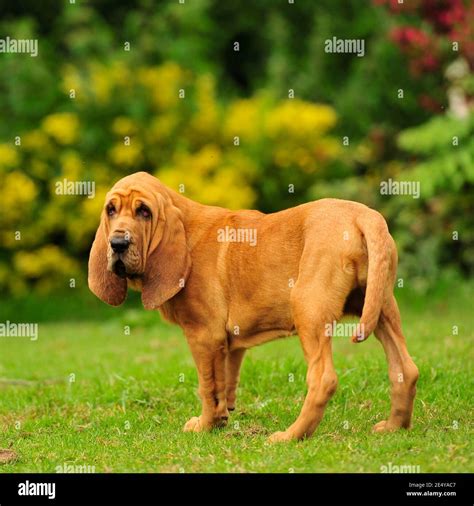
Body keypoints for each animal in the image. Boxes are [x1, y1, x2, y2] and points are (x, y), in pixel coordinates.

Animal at [88, 172, 418, 440]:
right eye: (111, 210)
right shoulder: (229, 342)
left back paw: (290, 436)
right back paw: (393, 427)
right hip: (381, 306)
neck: (187, 233)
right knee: (405, 369)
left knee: (323, 379)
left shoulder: (203, 335)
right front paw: (221, 420)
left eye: (144, 211)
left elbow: (208, 387)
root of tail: (364, 215)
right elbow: (225, 382)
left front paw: (205, 425)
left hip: (308, 308)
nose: (117, 243)